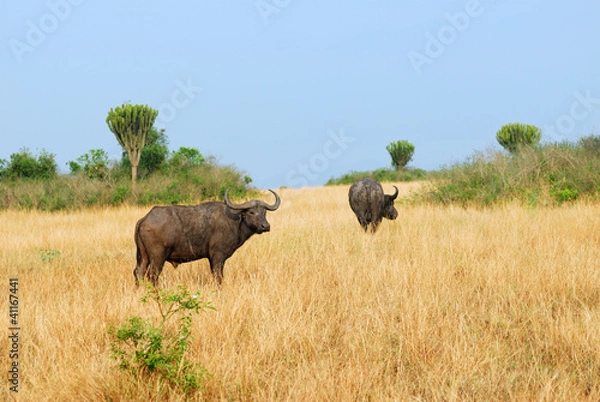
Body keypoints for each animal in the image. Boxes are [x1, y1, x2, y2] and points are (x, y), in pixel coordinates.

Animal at [134, 188, 282, 286]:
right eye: (251, 212)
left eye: (264, 212)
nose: (266, 226)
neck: (235, 221)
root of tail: (145, 219)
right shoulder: (217, 257)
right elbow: (218, 277)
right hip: (158, 258)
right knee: (153, 275)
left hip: (143, 257)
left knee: (138, 273)